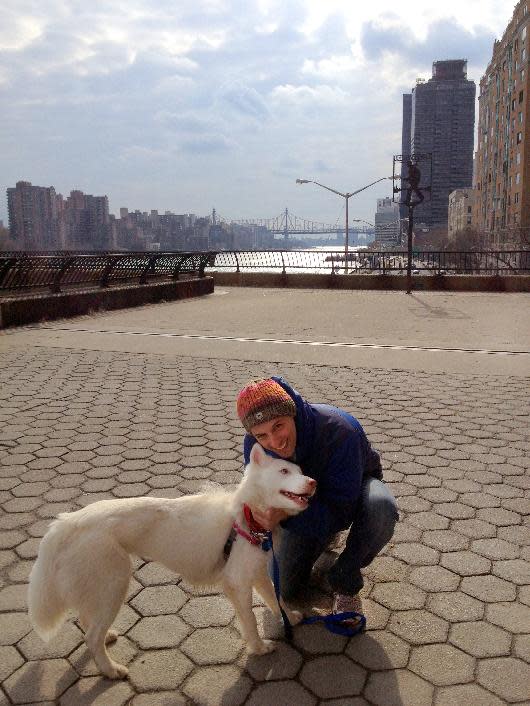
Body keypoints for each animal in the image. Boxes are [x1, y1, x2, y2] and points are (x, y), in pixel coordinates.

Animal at [27, 440, 314, 676]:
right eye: (284, 472)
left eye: (299, 470)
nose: (313, 482)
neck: (247, 515)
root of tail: (68, 521)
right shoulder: (238, 582)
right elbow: (252, 620)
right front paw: (259, 647)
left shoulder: (259, 573)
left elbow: (276, 599)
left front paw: (290, 618)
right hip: (114, 585)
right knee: (91, 637)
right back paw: (111, 670)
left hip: (101, 588)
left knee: (89, 624)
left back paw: (107, 640)